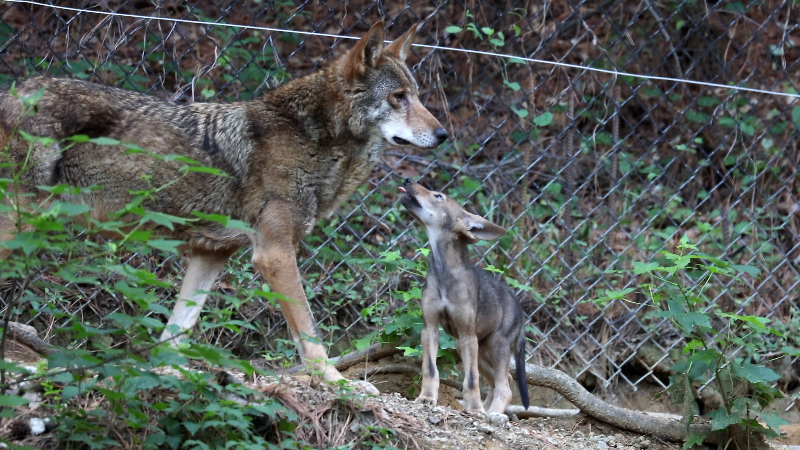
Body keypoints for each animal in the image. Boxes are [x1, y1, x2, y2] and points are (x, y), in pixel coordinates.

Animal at [0, 21, 447, 391]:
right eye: (398, 98)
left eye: (417, 96)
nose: (444, 134)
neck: (316, 139)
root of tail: (12, 92)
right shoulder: (275, 253)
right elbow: (310, 334)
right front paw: (338, 383)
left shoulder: (210, 253)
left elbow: (176, 334)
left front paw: (163, 377)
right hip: (19, 225)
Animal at [399, 179, 529, 414]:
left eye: (438, 196)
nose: (407, 180)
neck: (444, 272)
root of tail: (520, 309)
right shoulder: (430, 328)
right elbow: (430, 369)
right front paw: (427, 398)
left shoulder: (468, 335)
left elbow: (470, 379)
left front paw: (474, 408)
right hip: (474, 347)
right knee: (502, 379)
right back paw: (487, 410)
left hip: (495, 346)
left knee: (504, 386)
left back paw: (491, 414)